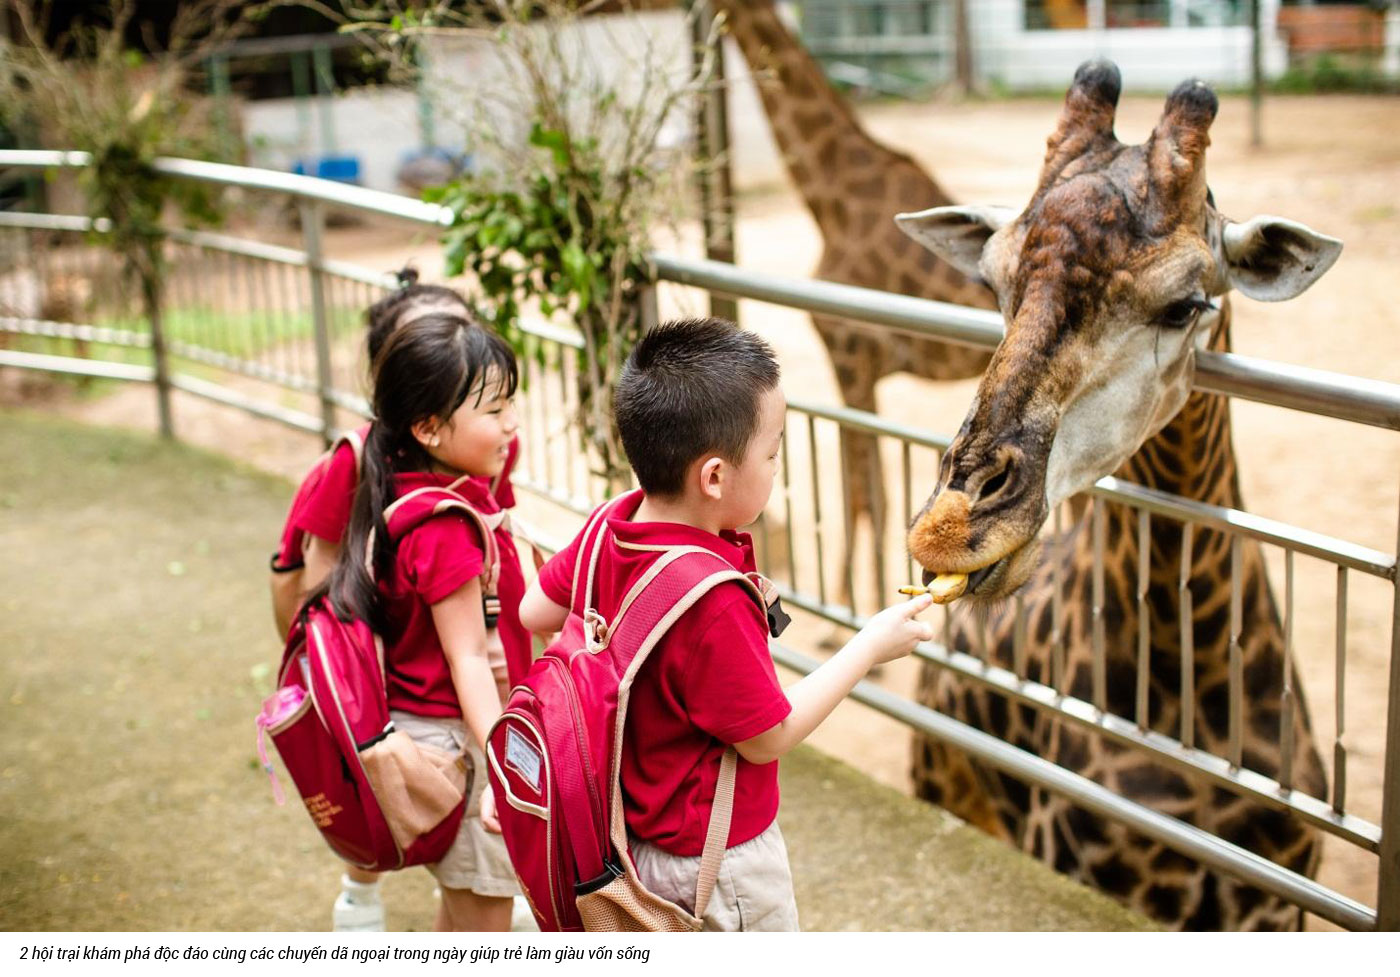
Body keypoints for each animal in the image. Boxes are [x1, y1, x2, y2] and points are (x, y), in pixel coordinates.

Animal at [711, 0, 996, 610]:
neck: (828, 198)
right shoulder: (858, 368)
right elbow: (867, 490)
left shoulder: (849, 355)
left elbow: (863, 494)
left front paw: (849, 600)